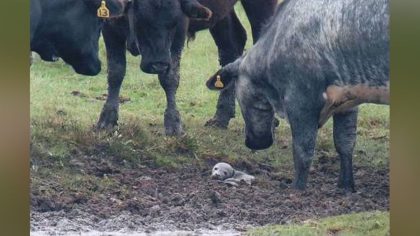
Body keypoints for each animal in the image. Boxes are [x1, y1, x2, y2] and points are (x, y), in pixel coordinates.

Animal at [96, 0, 278, 135]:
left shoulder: (180, 31)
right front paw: (107, 120)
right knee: (231, 45)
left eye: (173, 23)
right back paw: (220, 117)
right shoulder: (109, 26)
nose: (159, 64)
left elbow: (170, 78)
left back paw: (268, 121)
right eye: (141, 20)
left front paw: (173, 124)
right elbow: (115, 73)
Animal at [207, 0, 390, 192]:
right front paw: (345, 186)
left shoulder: (300, 101)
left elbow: (303, 150)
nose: (252, 143)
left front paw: (297, 189)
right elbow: (345, 143)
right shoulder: (347, 98)